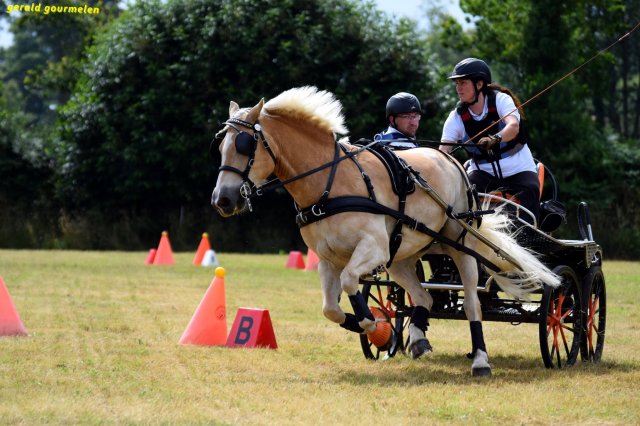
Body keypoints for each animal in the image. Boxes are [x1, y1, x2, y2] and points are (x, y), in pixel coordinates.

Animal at [211, 86, 560, 376]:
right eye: (221, 146)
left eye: (245, 146)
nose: (222, 200)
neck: (329, 184)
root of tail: (450, 160)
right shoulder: (327, 259)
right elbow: (331, 309)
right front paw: (382, 333)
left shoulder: (372, 248)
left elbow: (351, 283)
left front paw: (377, 329)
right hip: (403, 257)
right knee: (423, 296)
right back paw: (417, 339)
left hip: (460, 245)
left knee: (473, 303)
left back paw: (481, 361)